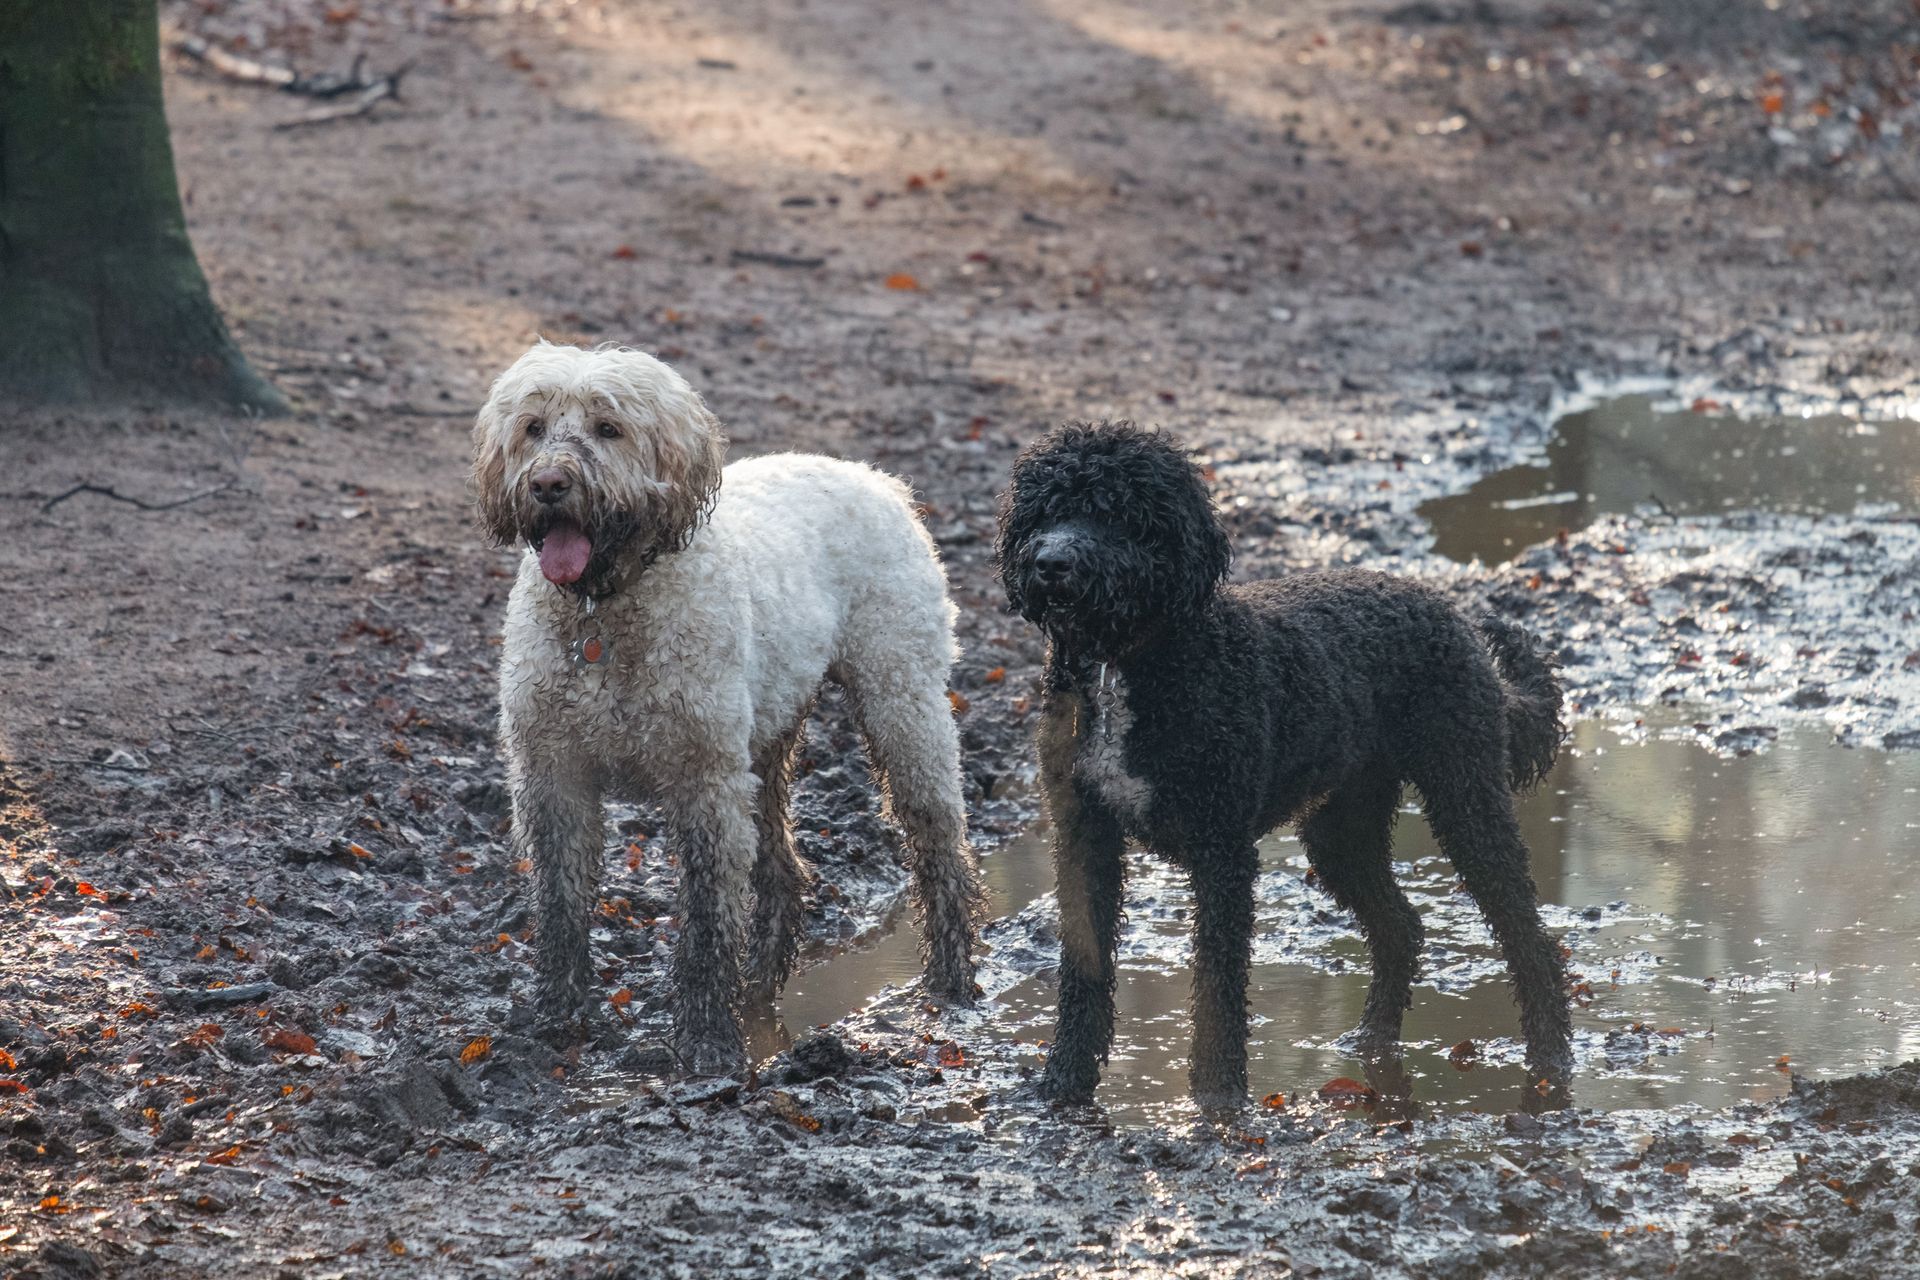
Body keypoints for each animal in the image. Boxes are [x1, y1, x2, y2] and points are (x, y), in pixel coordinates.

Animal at [473, 341, 982, 1074]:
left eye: (608, 428)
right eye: (533, 427)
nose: (547, 485)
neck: (604, 607)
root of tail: (876, 479)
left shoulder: (705, 782)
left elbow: (710, 917)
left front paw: (708, 1040)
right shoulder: (553, 777)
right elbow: (563, 908)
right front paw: (556, 1017)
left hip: (900, 701)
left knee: (939, 843)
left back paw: (950, 982)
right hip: (766, 743)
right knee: (782, 869)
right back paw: (762, 982)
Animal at [994, 421, 1573, 1108]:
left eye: (1116, 515)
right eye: (1046, 510)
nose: (1051, 563)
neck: (1124, 667)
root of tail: (1446, 608)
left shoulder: (1221, 848)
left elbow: (1218, 980)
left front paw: (1217, 1094)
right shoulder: (1084, 834)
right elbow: (1083, 968)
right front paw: (1064, 1080)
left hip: (1465, 791)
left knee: (1528, 936)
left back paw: (1550, 1059)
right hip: (1342, 827)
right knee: (1401, 927)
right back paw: (1370, 1040)